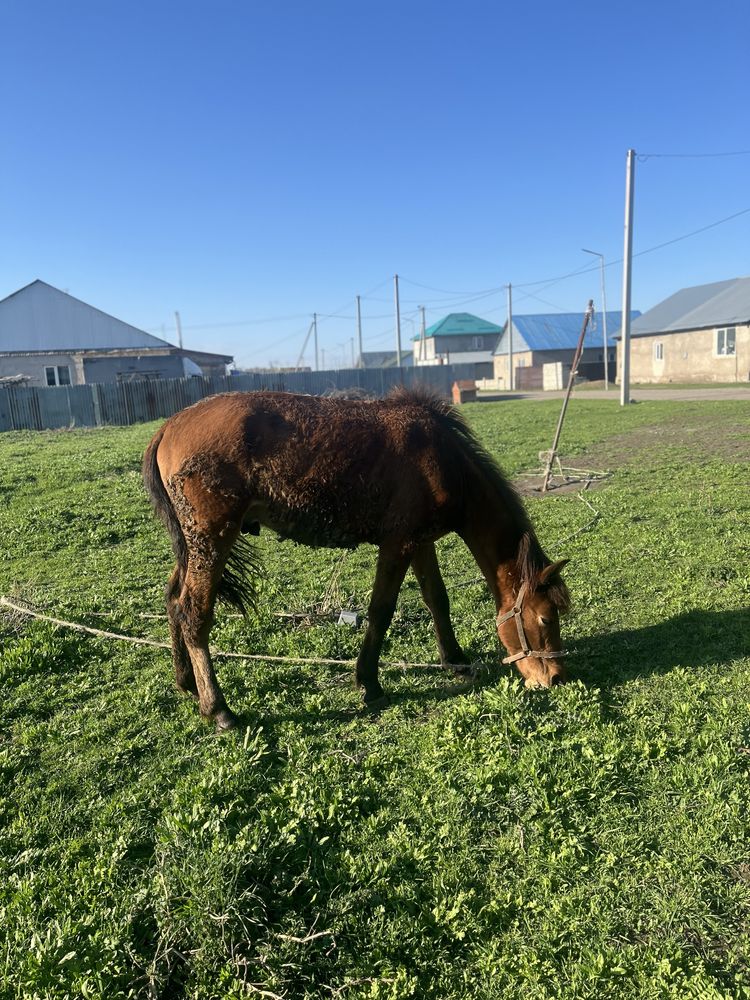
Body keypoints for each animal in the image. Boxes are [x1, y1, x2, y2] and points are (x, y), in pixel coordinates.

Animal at [144, 386, 572, 732]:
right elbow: (381, 610)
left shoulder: (421, 543)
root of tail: (167, 428)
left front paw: (454, 658)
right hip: (212, 538)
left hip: (195, 544)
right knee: (194, 613)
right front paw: (368, 682)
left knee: (173, 599)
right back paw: (218, 709)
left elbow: (438, 599)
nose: (555, 678)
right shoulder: (398, 544)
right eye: (545, 618)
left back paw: (186, 682)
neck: (444, 460)